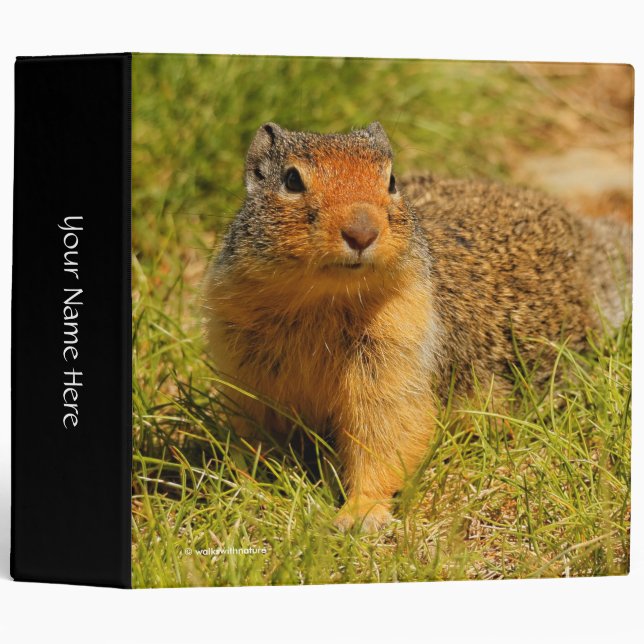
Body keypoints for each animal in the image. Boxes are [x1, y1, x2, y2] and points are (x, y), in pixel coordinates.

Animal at [203, 121, 631, 532]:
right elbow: (256, 436)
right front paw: (248, 490)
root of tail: (586, 235)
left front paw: (361, 514)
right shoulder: (247, 367)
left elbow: (387, 434)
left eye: (391, 180)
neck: (320, 299)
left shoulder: (396, 354)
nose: (362, 232)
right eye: (292, 180)